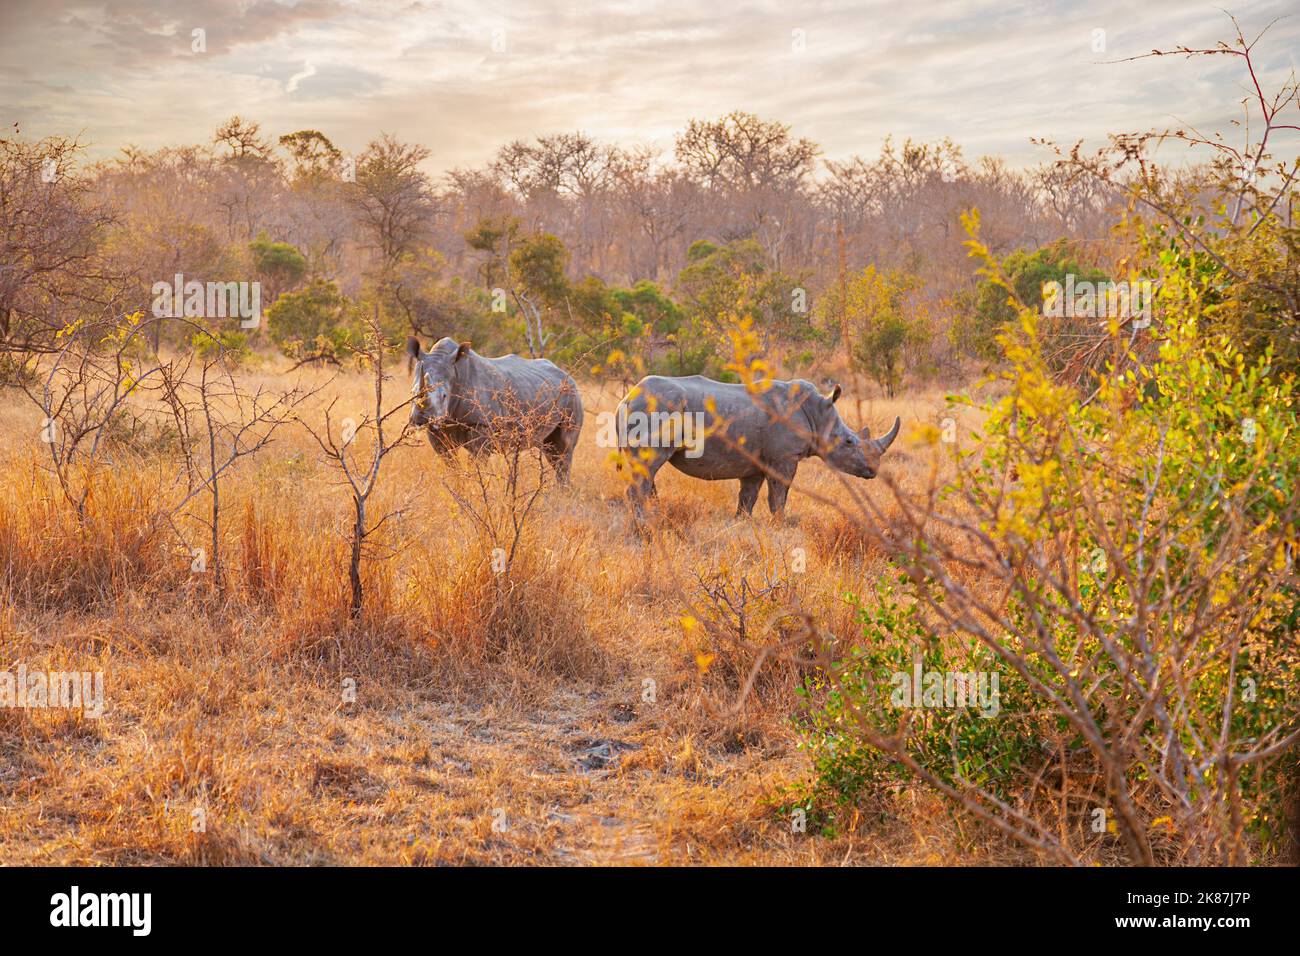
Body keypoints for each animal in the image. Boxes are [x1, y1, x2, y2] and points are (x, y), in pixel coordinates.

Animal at [407, 336, 583, 483]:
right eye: (413, 392)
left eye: (444, 396)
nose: (421, 419)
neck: (455, 372)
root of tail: (567, 375)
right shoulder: (437, 427)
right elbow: (450, 463)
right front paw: (457, 485)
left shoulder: (481, 426)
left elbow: (476, 463)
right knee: (551, 450)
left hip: (572, 395)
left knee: (564, 451)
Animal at [615, 374, 899, 516]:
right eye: (849, 442)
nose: (873, 471)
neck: (818, 412)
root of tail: (626, 399)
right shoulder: (784, 457)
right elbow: (779, 497)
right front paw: (780, 525)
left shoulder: (754, 463)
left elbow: (748, 499)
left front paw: (741, 524)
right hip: (655, 409)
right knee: (648, 468)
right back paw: (643, 526)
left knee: (645, 472)